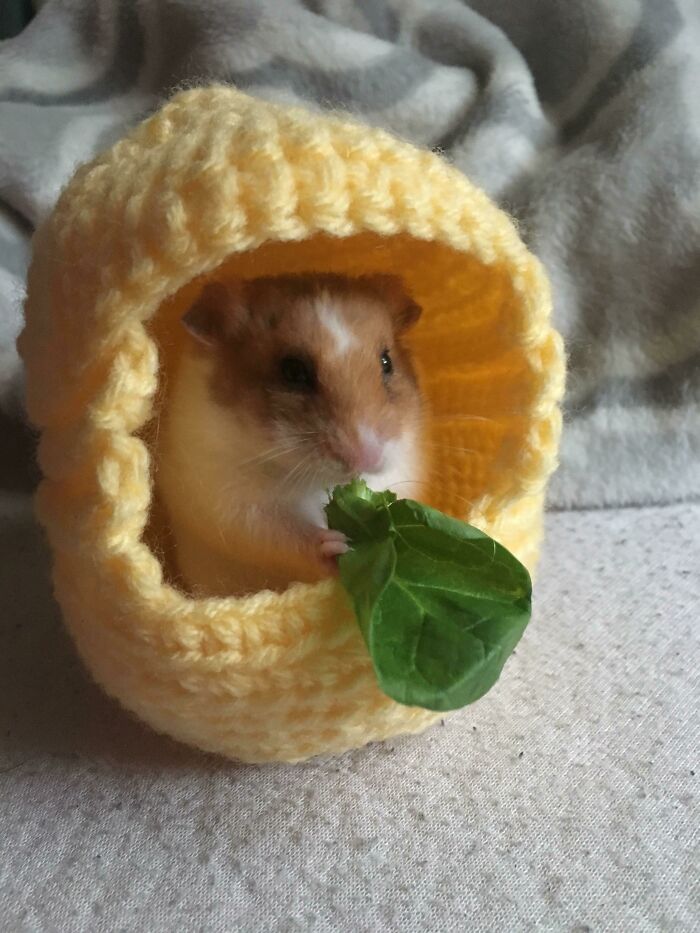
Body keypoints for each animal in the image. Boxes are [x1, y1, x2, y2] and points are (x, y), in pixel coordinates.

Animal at [156, 272, 426, 597]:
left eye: (387, 362)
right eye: (293, 371)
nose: (367, 459)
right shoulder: (229, 504)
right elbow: (281, 534)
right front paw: (338, 545)